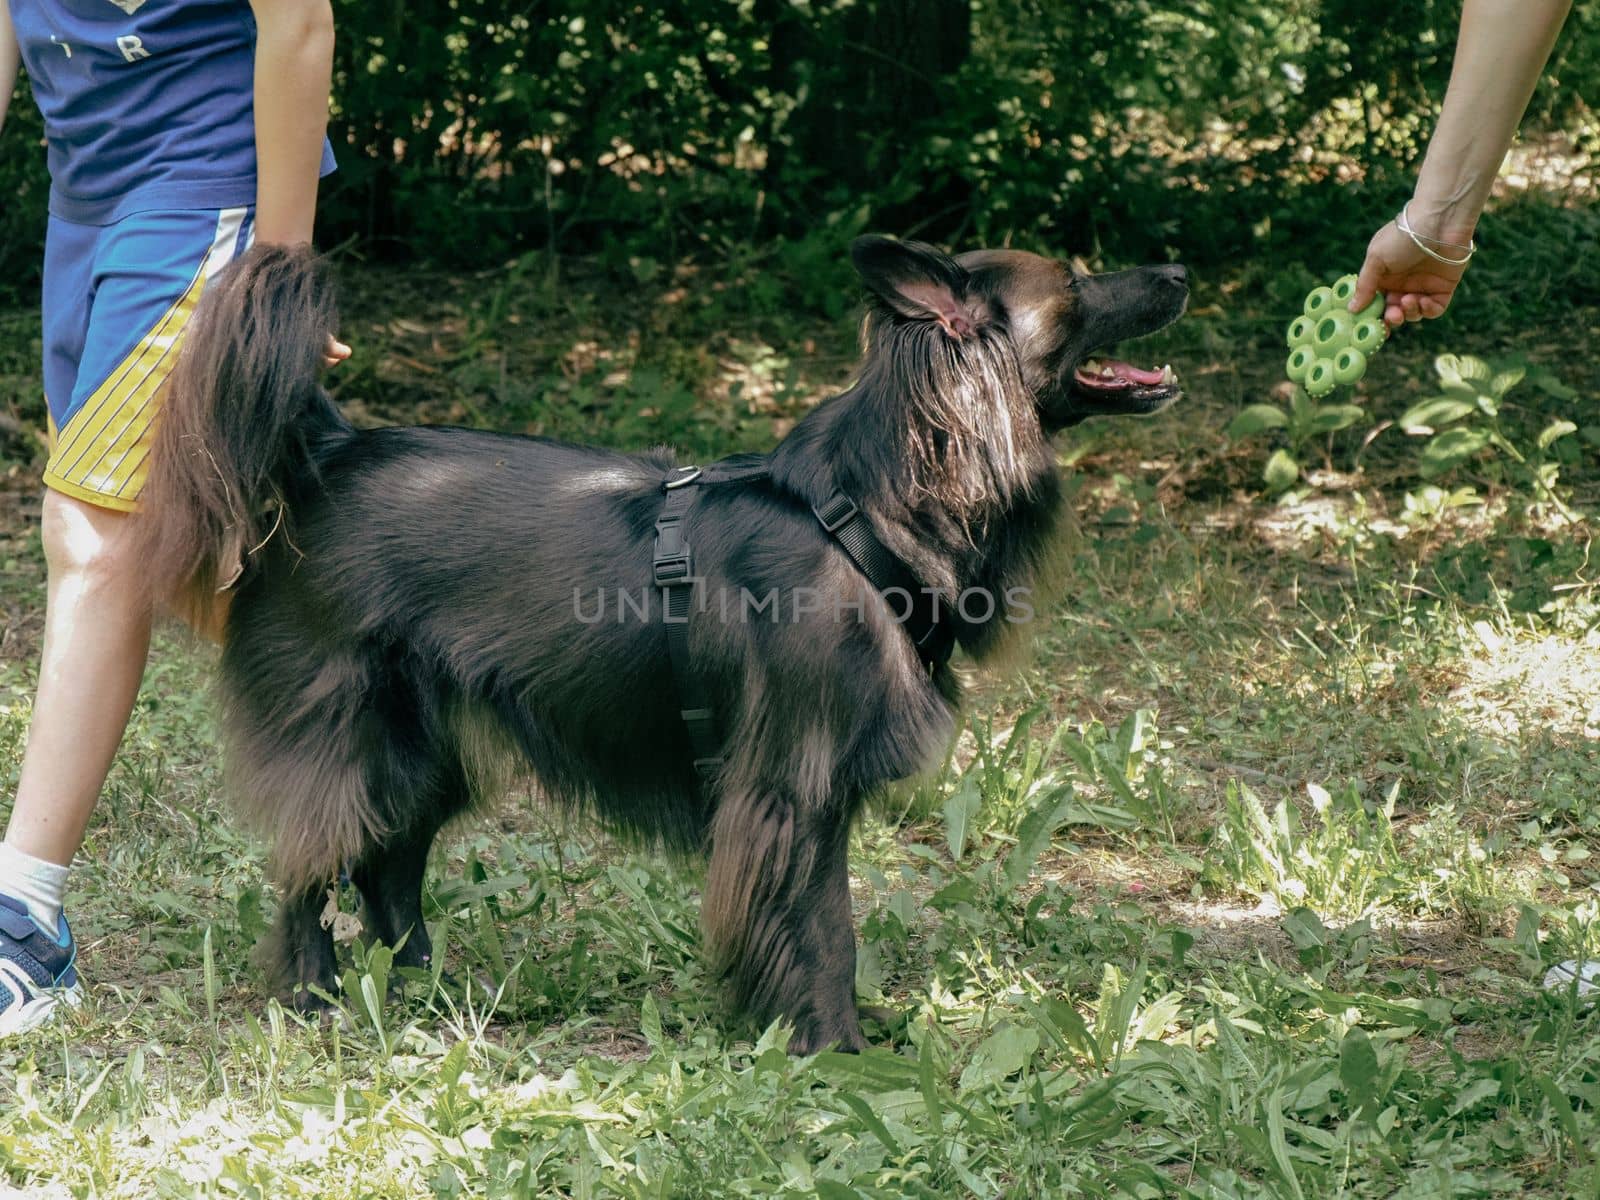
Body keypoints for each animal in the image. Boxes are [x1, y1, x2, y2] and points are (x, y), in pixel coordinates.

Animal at [137, 240, 1184, 1056]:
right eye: (1077, 283)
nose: (1178, 271)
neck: (864, 516)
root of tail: (329, 449)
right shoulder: (791, 787)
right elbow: (827, 930)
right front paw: (833, 1054)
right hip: (347, 735)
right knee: (313, 870)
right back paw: (314, 998)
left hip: (424, 752)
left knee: (385, 867)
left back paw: (429, 993)